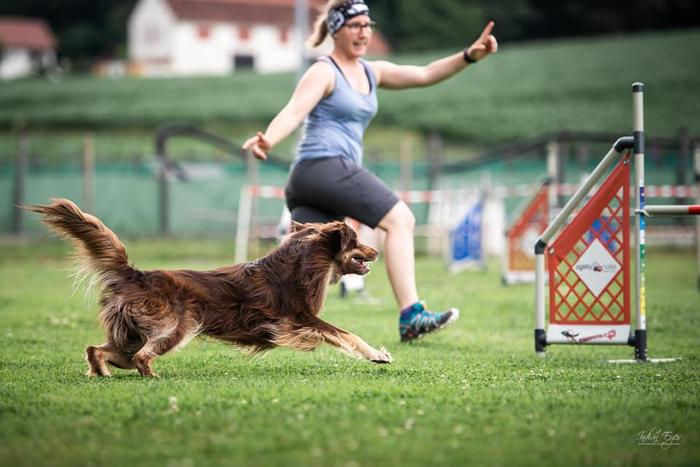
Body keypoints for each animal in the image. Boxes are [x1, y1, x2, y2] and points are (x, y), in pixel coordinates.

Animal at [26, 197, 394, 376]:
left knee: (96, 350)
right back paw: (152, 378)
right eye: (358, 241)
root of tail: (137, 274)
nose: (377, 250)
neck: (303, 264)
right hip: (175, 327)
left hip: (128, 336)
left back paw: (100, 373)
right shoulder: (298, 319)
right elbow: (347, 335)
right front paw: (378, 355)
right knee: (142, 357)